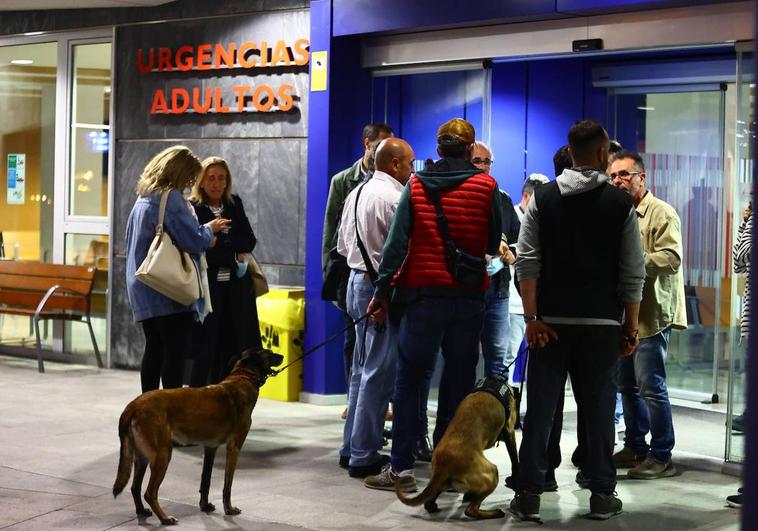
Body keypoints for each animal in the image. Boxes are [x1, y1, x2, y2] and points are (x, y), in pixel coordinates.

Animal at [110, 348, 282, 524]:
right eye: (269, 353)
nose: (282, 356)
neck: (243, 376)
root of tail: (133, 405)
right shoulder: (234, 448)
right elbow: (227, 485)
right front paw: (229, 509)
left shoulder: (210, 448)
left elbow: (206, 481)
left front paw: (204, 506)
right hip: (162, 455)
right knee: (149, 493)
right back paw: (165, 518)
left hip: (142, 457)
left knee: (135, 487)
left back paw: (142, 511)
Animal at [394, 380, 520, 520]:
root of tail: (442, 468)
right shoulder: (509, 431)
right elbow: (515, 460)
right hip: (492, 472)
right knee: (470, 510)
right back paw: (495, 512)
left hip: (442, 485)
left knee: (429, 503)